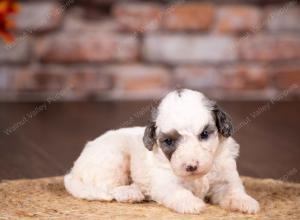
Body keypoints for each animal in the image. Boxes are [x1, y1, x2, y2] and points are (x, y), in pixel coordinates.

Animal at [64, 88, 258, 214]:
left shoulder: (225, 176)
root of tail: (73, 171)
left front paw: (246, 202)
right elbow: (178, 191)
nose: (191, 166)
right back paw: (129, 193)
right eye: (169, 141)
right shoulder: (165, 182)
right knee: (109, 187)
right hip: (115, 158)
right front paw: (190, 203)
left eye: (204, 134)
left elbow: (233, 189)